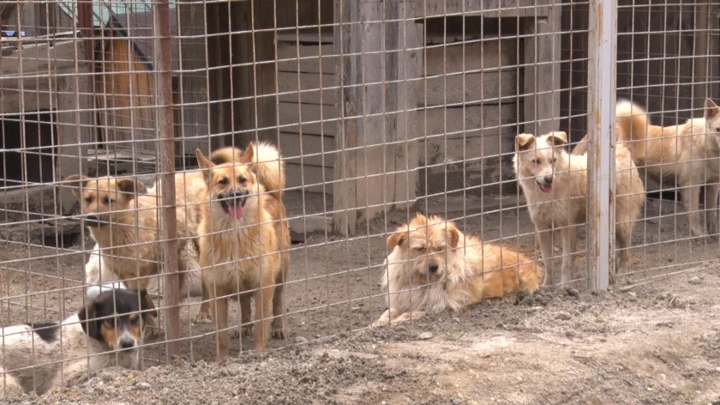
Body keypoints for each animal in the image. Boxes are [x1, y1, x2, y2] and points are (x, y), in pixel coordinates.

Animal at [195, 141, 292, 356]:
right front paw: (222, 359)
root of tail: (270, 193)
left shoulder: (264, 285)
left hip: (280, 274)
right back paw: (244, 326)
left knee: (278, 302)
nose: (236, 195)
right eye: (222, 182)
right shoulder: (217, 291)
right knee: (245, 304)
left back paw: (279, 327)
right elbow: (221, 334)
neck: (234, 235)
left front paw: (258, 353)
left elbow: (261, 327)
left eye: (242, 180)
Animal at [372, 213, 544, 326]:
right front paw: (379, 322)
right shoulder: (403, 301)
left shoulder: (438, 306)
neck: (422, 281)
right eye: (420, 249)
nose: (434, 267)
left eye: (440, 248)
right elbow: (389, 312)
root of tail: (534, 266)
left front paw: (391, 323)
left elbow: (409, 315)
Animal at [512, 130, 648, 284]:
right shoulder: (543, 229)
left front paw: (565, 285)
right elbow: (548, 262)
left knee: (626, 253)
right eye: (536, 161)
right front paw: (547, 285)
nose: (549, 179)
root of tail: (622, 150)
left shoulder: (567, 227)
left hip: (621, 223)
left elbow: (565, 263)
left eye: (553, 160)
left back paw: (621, 276)